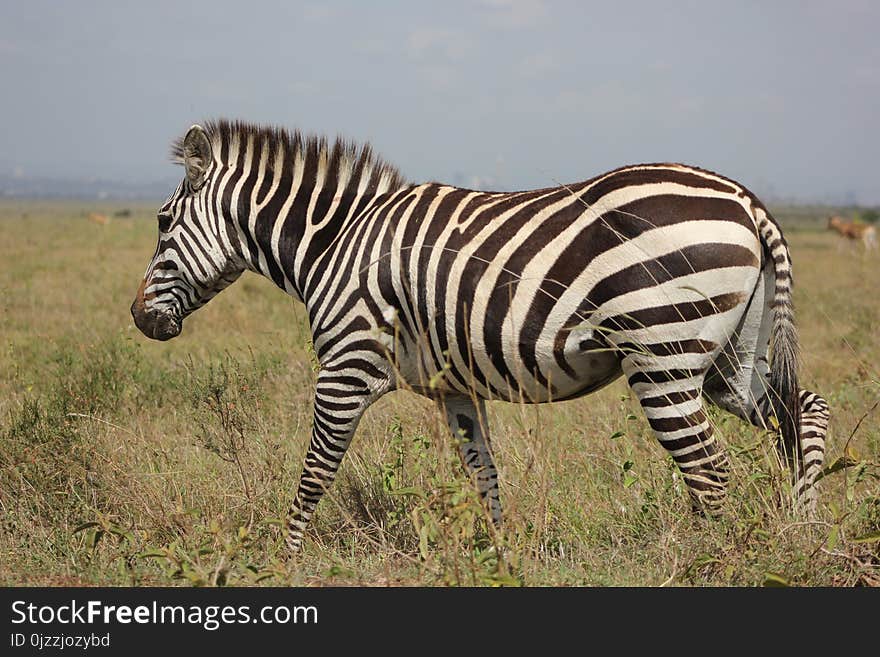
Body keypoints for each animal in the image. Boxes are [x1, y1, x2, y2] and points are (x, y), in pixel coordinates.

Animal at [132, 120, 832, 552]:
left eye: (163, 222)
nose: (140, 320)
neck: (336, 240)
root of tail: (746, 201)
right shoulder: (455, 388)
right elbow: (483, 475)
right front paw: (500, 554)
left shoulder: (347, 363)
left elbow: (314, 472)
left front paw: (284, 558)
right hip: (729, 358)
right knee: (805, 411)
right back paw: (801, 529)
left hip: (663, 357)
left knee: (710, 472)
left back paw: (705, 559)